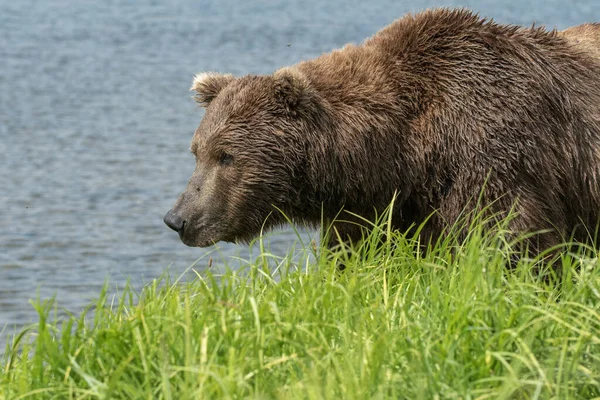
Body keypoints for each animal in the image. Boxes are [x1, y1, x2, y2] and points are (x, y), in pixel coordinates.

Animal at [164, 9, 600, 255]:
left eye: (227, 155)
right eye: (197, 152)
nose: (178, 218)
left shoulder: (495, 149)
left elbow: (509, 240)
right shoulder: (376, 207)